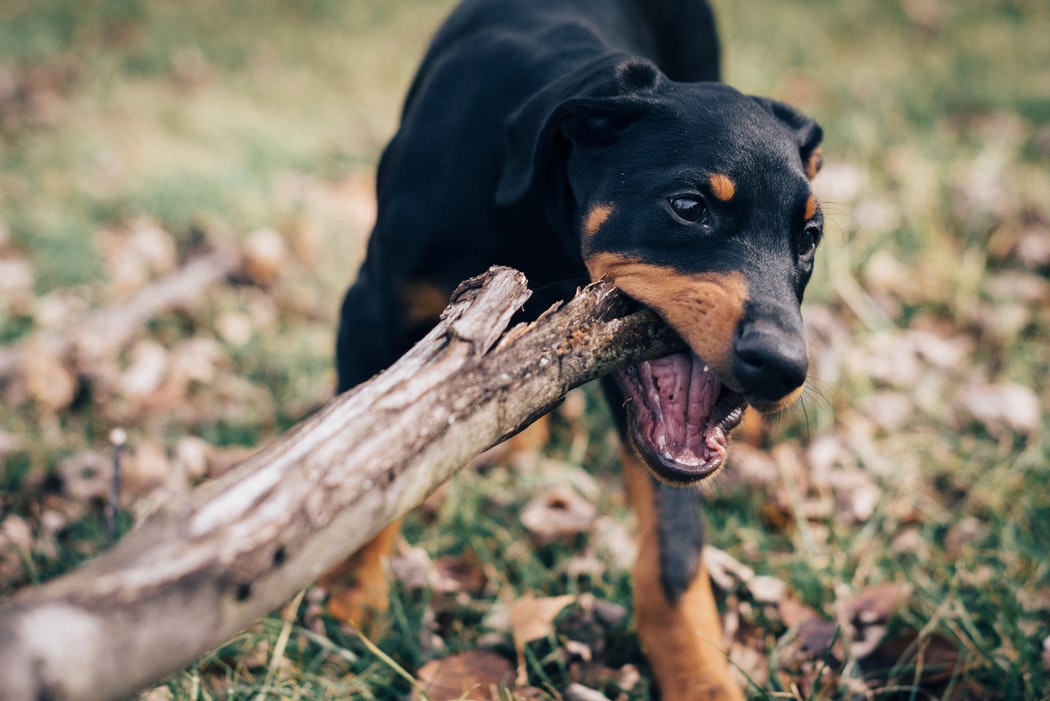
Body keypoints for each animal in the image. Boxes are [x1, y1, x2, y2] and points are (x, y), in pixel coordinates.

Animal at [323, 2, 823, 696]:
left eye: (811, 236)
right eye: (688, 206)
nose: (782, 367)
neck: (536, 213)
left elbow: (673, 551)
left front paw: (701, 678)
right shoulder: (367, 312)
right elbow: (366, 472)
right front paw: (350, 600)